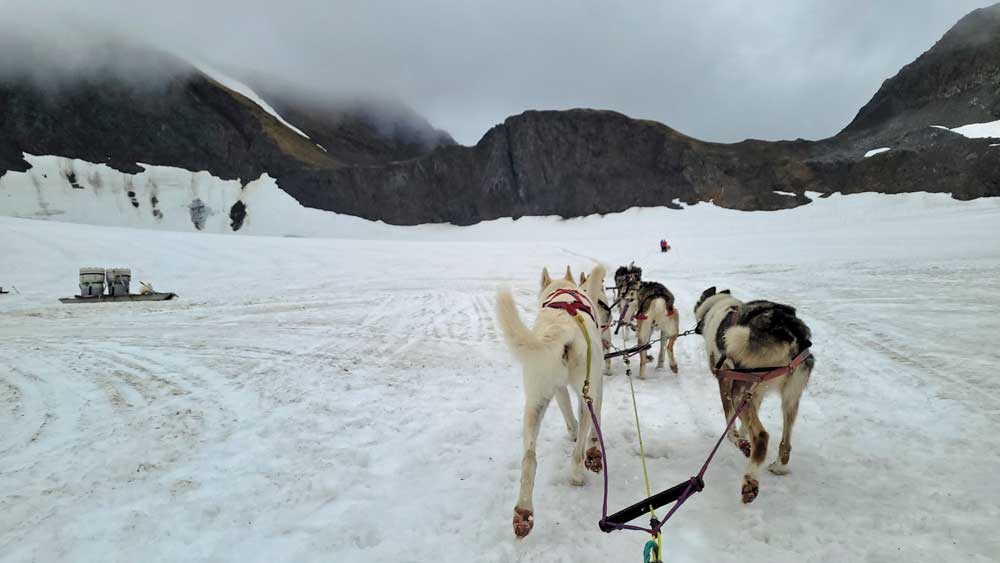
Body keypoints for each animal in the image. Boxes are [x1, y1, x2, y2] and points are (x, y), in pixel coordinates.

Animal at [496, 266, 604, 540]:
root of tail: (562, 327)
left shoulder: (558, 390)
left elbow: (568, 414)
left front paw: (572, 431)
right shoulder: (597, 385)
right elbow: (594, 426)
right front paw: (593, 448)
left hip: (534, 402)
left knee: (529, 459)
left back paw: (523, 512)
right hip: (586, 390)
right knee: (578, 452)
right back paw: (577, 475)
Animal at [696, 288, 812, 504]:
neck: (720, 305)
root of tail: (788, 330)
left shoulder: (726, 382)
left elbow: (730, 423)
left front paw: (738, 441)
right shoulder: (756, 393)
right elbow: (744, 422)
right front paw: (743, 436)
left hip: (739, 392)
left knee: (762, 436)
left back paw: (750, 481)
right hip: (790, 399)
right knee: (786, 444)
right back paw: (778, 467)